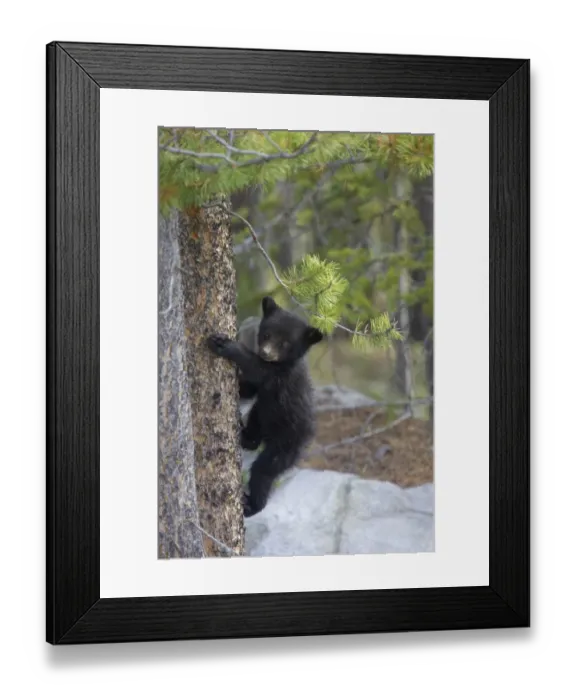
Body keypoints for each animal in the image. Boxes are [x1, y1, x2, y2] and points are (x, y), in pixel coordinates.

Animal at [206, 296, 323, 517]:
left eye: (285, 343)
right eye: (267, 334)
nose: (266, 352)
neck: (282, 364)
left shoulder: (280, 377)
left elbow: (256, 368)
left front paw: (225, 345)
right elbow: (249, 388)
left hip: (286, 444)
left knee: (264, 470)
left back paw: (252, 505)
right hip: (263, 416)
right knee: (255, 424)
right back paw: (245, 435)